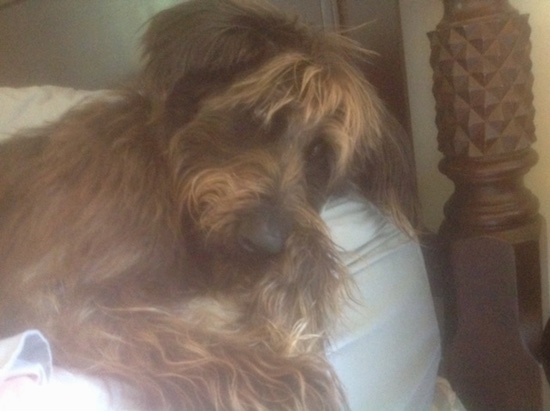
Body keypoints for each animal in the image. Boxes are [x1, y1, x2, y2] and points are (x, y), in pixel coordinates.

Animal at [0, 1, 414, 410]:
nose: (262, 243)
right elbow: (172, 337)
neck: (164, 174)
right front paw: (293, 384)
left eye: (319, 154)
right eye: (258, 117)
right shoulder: (46, 292)